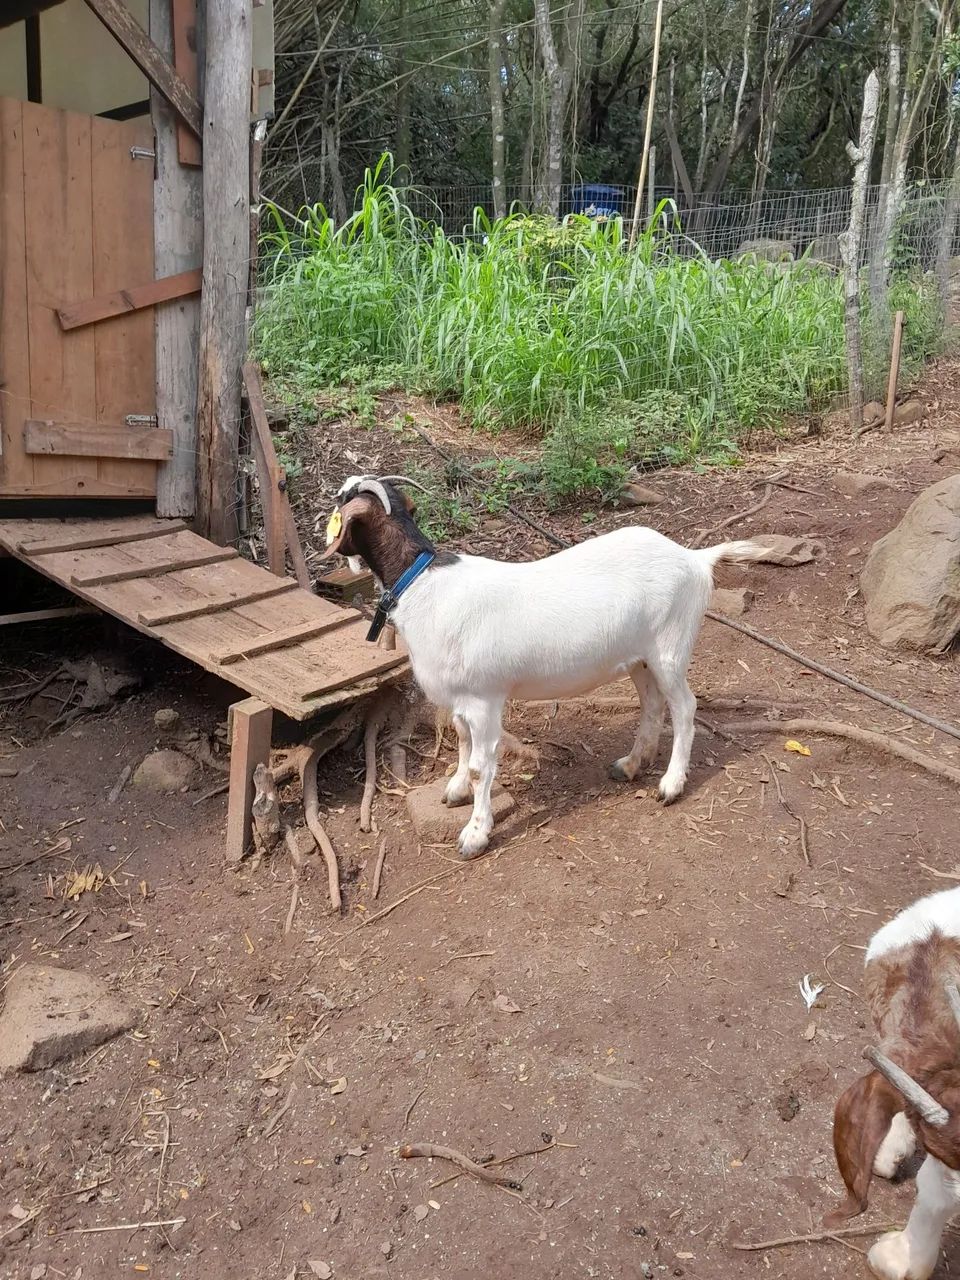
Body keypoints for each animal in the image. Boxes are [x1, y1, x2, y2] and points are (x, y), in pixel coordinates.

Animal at [321, 474, 772, 858]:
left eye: (340, 500)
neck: (422, 583)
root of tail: (695, 559)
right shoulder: (461, 698)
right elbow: (462, 742)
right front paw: (455, 790)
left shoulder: (484, 699)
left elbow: (482, 766)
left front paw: (475, 834)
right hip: (641, 658)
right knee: (653, 705)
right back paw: (631, 764)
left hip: (670, 649)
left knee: (685, 708)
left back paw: (672, 784)